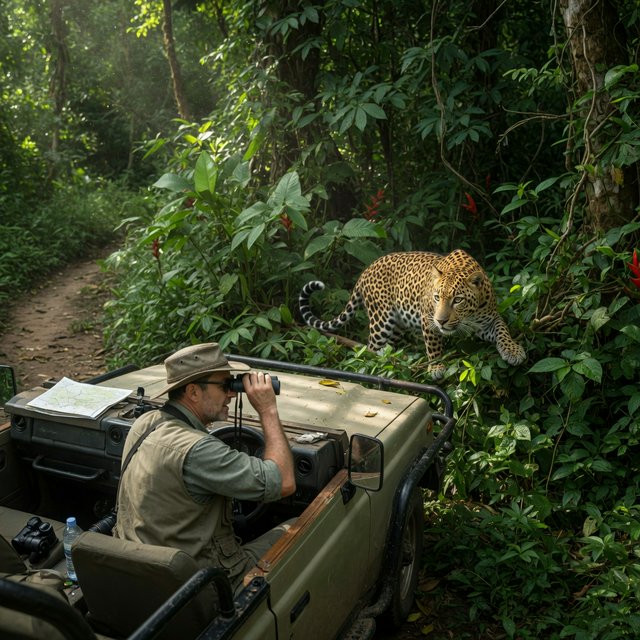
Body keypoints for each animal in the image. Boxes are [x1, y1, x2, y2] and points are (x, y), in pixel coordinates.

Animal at [298, 249, 526, 378]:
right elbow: (434, 346)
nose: (442, 321)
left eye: (457, 300)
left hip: (397, 326)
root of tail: (367, 269)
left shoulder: (488, 320)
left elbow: (502, 330)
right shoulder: (427, 318)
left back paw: (394, 360)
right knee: (370, 348)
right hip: (381, 321)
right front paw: (436, 367)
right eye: (436, 298)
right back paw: (378, 364)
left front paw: (513, 351)